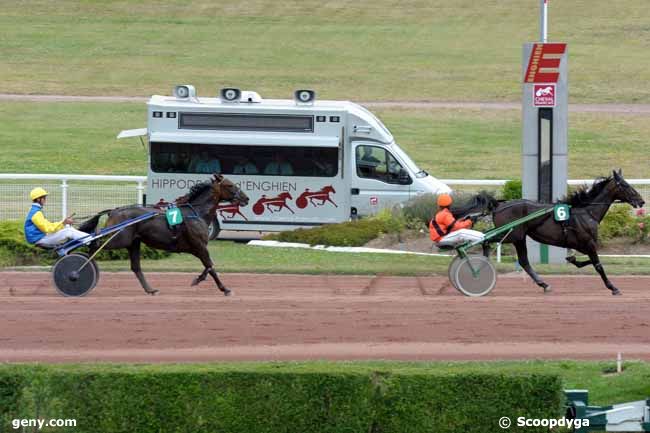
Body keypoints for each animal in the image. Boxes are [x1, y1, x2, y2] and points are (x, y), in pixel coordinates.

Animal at [76, 174, 248, 296]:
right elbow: (211, 266)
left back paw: (150, 290)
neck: (196, 213)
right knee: (95, 242)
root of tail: (114, 210)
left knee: (135, 267)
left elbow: (208, 266)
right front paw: (224, 289)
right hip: (119, 239)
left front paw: (199, 279)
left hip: (133, 242)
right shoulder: (199, 246)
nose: (246, 198)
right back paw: (82, 267)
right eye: (230, 185)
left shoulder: (196, 248)